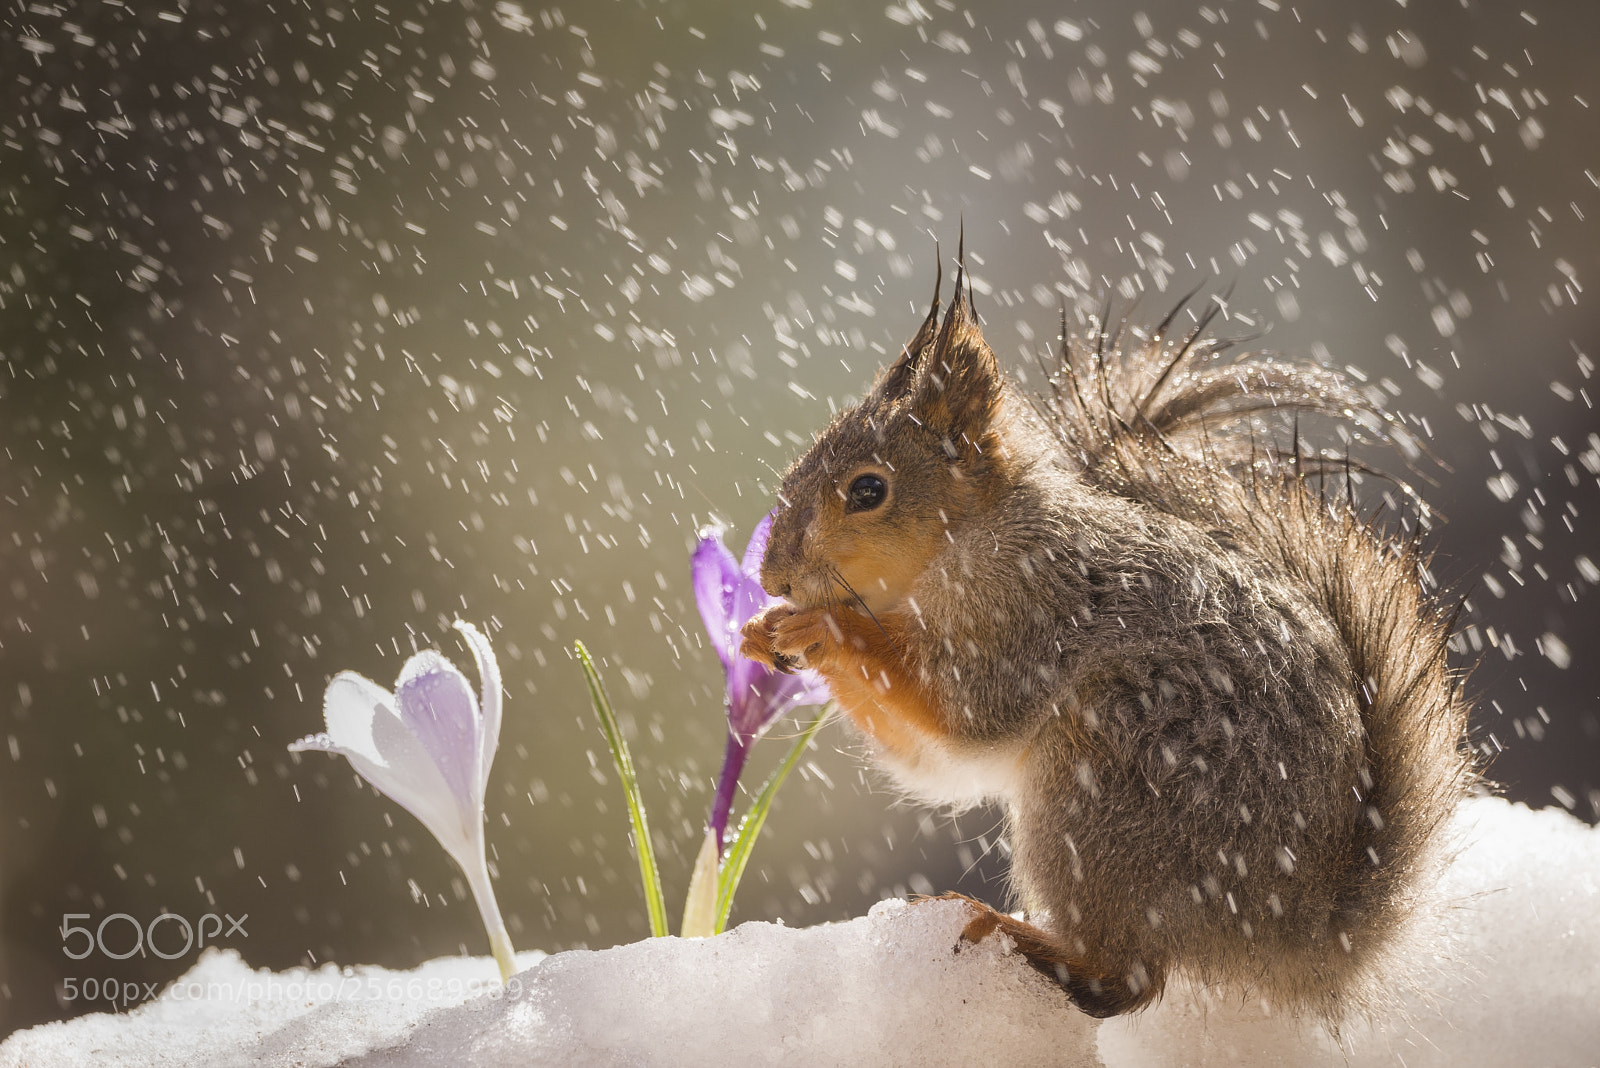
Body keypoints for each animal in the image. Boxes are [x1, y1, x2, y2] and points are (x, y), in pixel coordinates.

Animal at [739, 247, 1477, 1023]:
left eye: (868, 490)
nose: (772, 573)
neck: (970, 540)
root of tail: (1294, 932)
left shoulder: (1034, 611)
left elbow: (968, 715)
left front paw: (829, 626)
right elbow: (932, 761)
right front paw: (763, 632)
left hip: (1108, 784)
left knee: (1126, 980)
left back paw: (1011, 932)